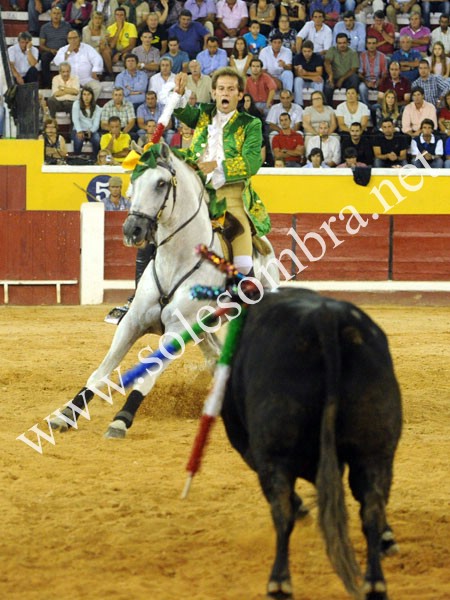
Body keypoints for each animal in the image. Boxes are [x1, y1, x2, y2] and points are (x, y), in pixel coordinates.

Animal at [50, 143, 279, 438]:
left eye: (161, 183)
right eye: (134, 182)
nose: (132, 229)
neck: (176, 260)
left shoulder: (176, 331)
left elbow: (146, 378)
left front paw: (121, 419)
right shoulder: (133, 323)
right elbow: (100, 373)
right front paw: (66, 414)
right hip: (203, 330)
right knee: (215, 359)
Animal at [221, 287, 402, 600]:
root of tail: (325, 318)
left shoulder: (249, 445)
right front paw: (387, 539)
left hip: (275, 450)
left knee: (282, 511)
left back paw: (279, 582)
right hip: (376, 448)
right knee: (372, 506)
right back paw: (375, 583)